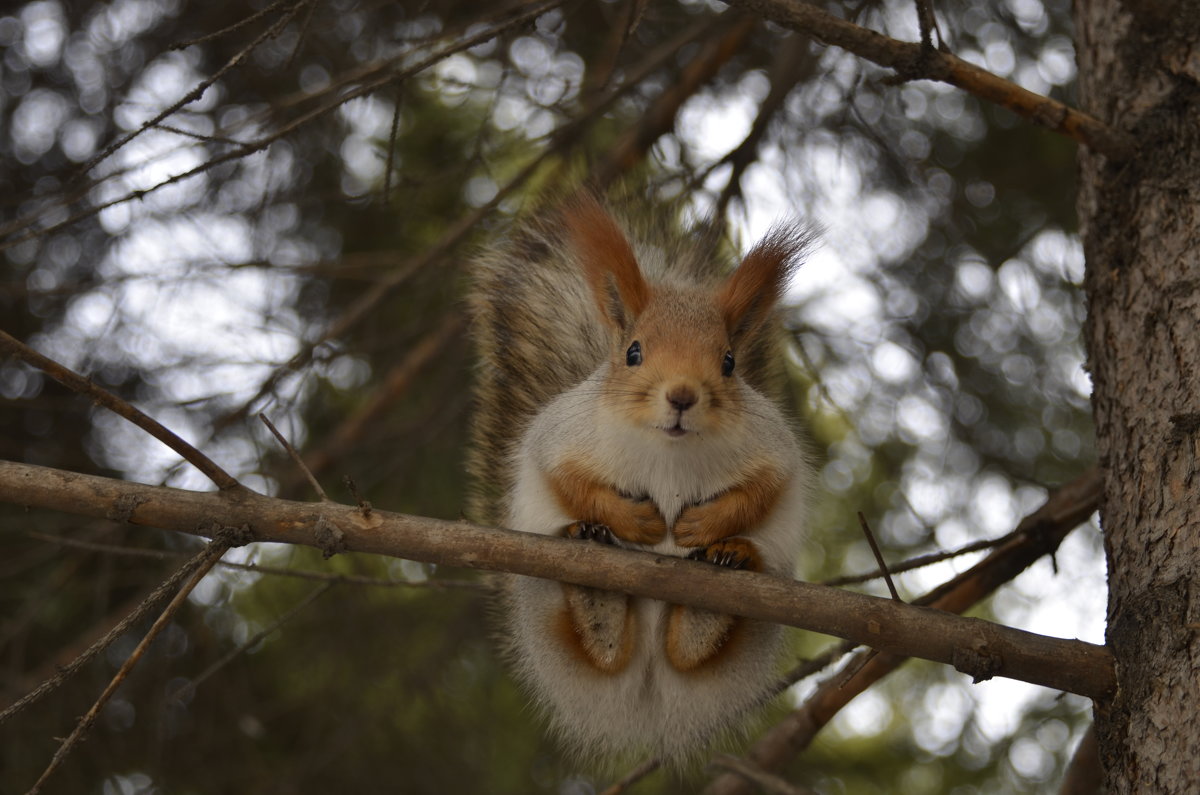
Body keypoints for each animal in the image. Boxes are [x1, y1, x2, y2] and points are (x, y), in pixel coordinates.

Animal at [468, 192, 816, 768]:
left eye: (728, 362)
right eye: (633, 352)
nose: (681, 395)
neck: (668, 451)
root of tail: (649, 697)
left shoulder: (774, 451)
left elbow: (761, 490)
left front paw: (702, 526)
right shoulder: (559, 438)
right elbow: (569, 480)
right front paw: (638, 522)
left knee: (691, 649)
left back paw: (720, 576)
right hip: (542, 605)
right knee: (602, 648)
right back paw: (595, 589)